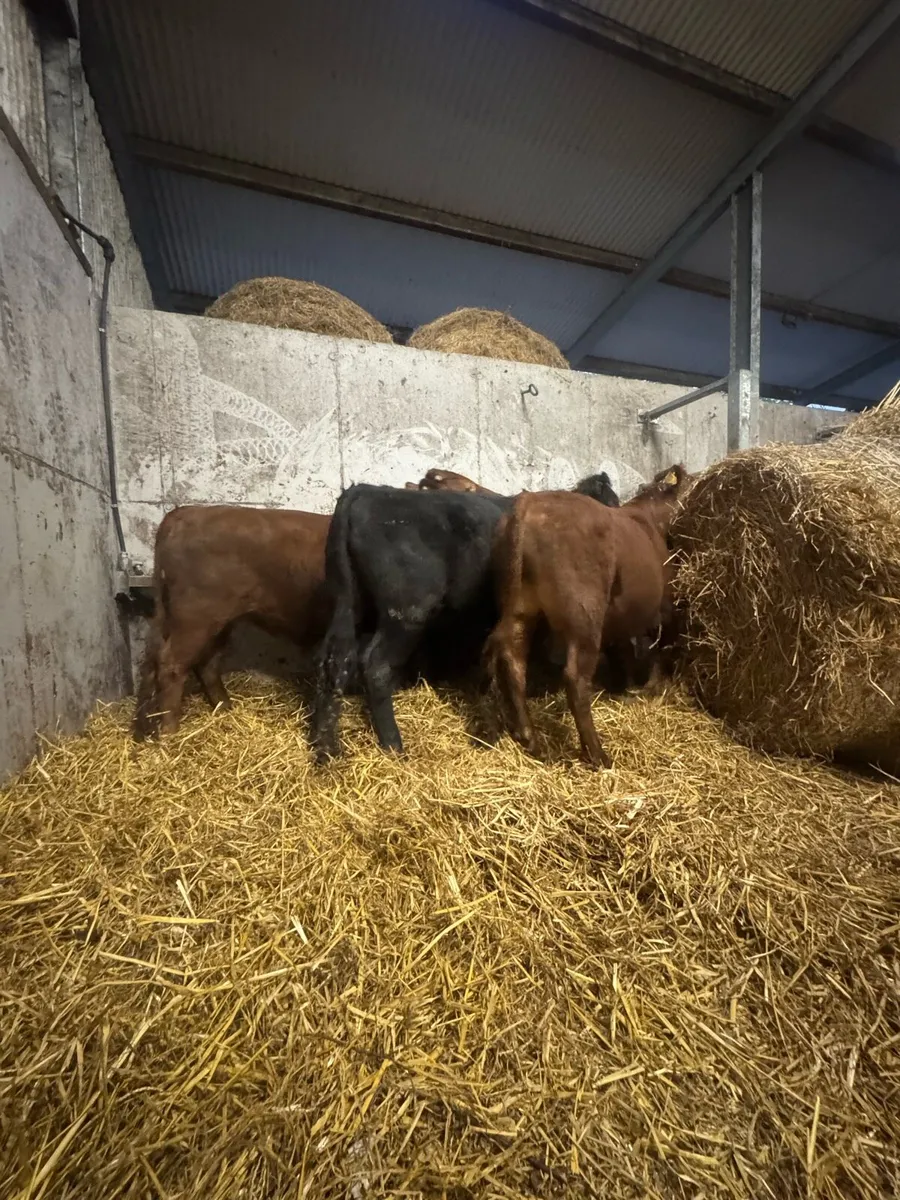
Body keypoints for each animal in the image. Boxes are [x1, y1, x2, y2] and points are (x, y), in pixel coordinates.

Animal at [134, 505, 330, 739]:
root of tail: (183, 512)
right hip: (195, 618)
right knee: (171, 665)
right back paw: (170, 731)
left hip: (213, 622)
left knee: (198, 663)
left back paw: (223, 709)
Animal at [311, 472, 620, 762]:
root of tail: (365, 491)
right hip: (406, 612)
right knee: (376, 666)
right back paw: (393, 746)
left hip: (348, 604)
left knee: (335, 662)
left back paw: (325, 748)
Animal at [485, 464, 688, 769]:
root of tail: (528, 504)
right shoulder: (663, 607)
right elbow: (659, 646)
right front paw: (650, 686)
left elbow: (622, 650)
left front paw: (626, 686)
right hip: (584, 615)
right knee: (576, 679)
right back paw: (598, 755)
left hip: (522, 607)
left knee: (514, 662)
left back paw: (531, 739)